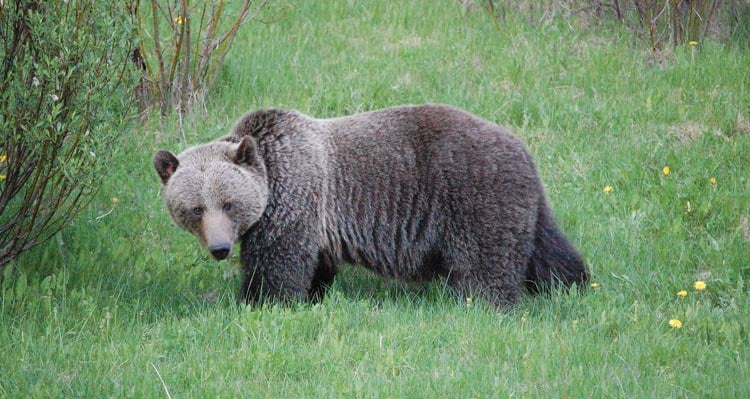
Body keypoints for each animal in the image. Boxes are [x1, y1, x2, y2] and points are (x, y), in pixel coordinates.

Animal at [153, 104, 588, 308]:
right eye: (195, 209)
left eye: (228, 203)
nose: (220, 248)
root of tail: (521, 147)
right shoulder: (317, 226)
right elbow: (317, 267)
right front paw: (310, 297)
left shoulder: (296, 204)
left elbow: (277, 267)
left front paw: (259, 301)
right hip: (525, 204)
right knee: (549, 249)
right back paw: (572, 285)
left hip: (475, 197)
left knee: (487, 266)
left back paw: (488, 304)